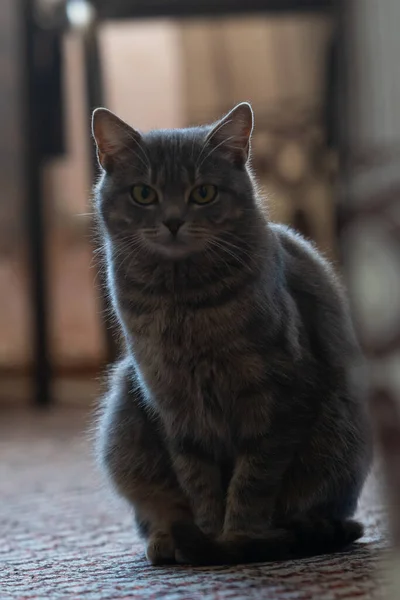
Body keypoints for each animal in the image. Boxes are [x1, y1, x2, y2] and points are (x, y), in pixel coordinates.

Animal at [92, 104, 370, 568]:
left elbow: (253, 478)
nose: (172, 221)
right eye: (144, 194)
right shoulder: (172, 402)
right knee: (155, 511)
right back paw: (166, 540)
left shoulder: (278, 397)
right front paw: (209, 535)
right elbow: (197, 480)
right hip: (125, 415)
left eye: (203, 193)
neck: (183, 303)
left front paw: (237, 536)